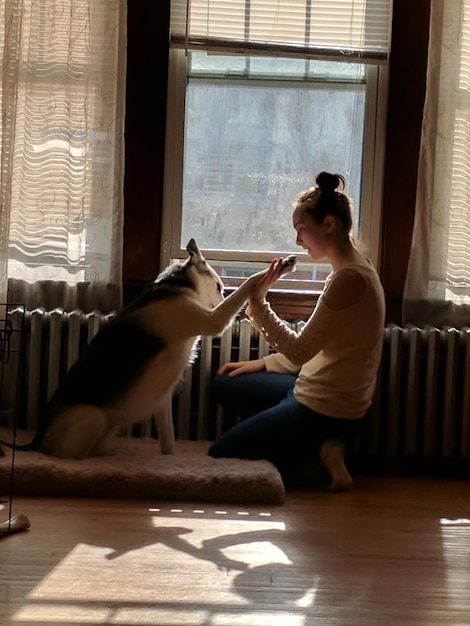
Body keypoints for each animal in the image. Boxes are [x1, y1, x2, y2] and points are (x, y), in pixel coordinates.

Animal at [2, 239, 298, 458]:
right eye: (218, 286)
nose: (222, 295)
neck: (178, 286)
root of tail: (36, 439)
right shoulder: (213, 320)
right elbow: (250, 283)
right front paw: (277, 269)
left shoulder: (162, 399)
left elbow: (169, 442)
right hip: (94, 417)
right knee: (72, 455)